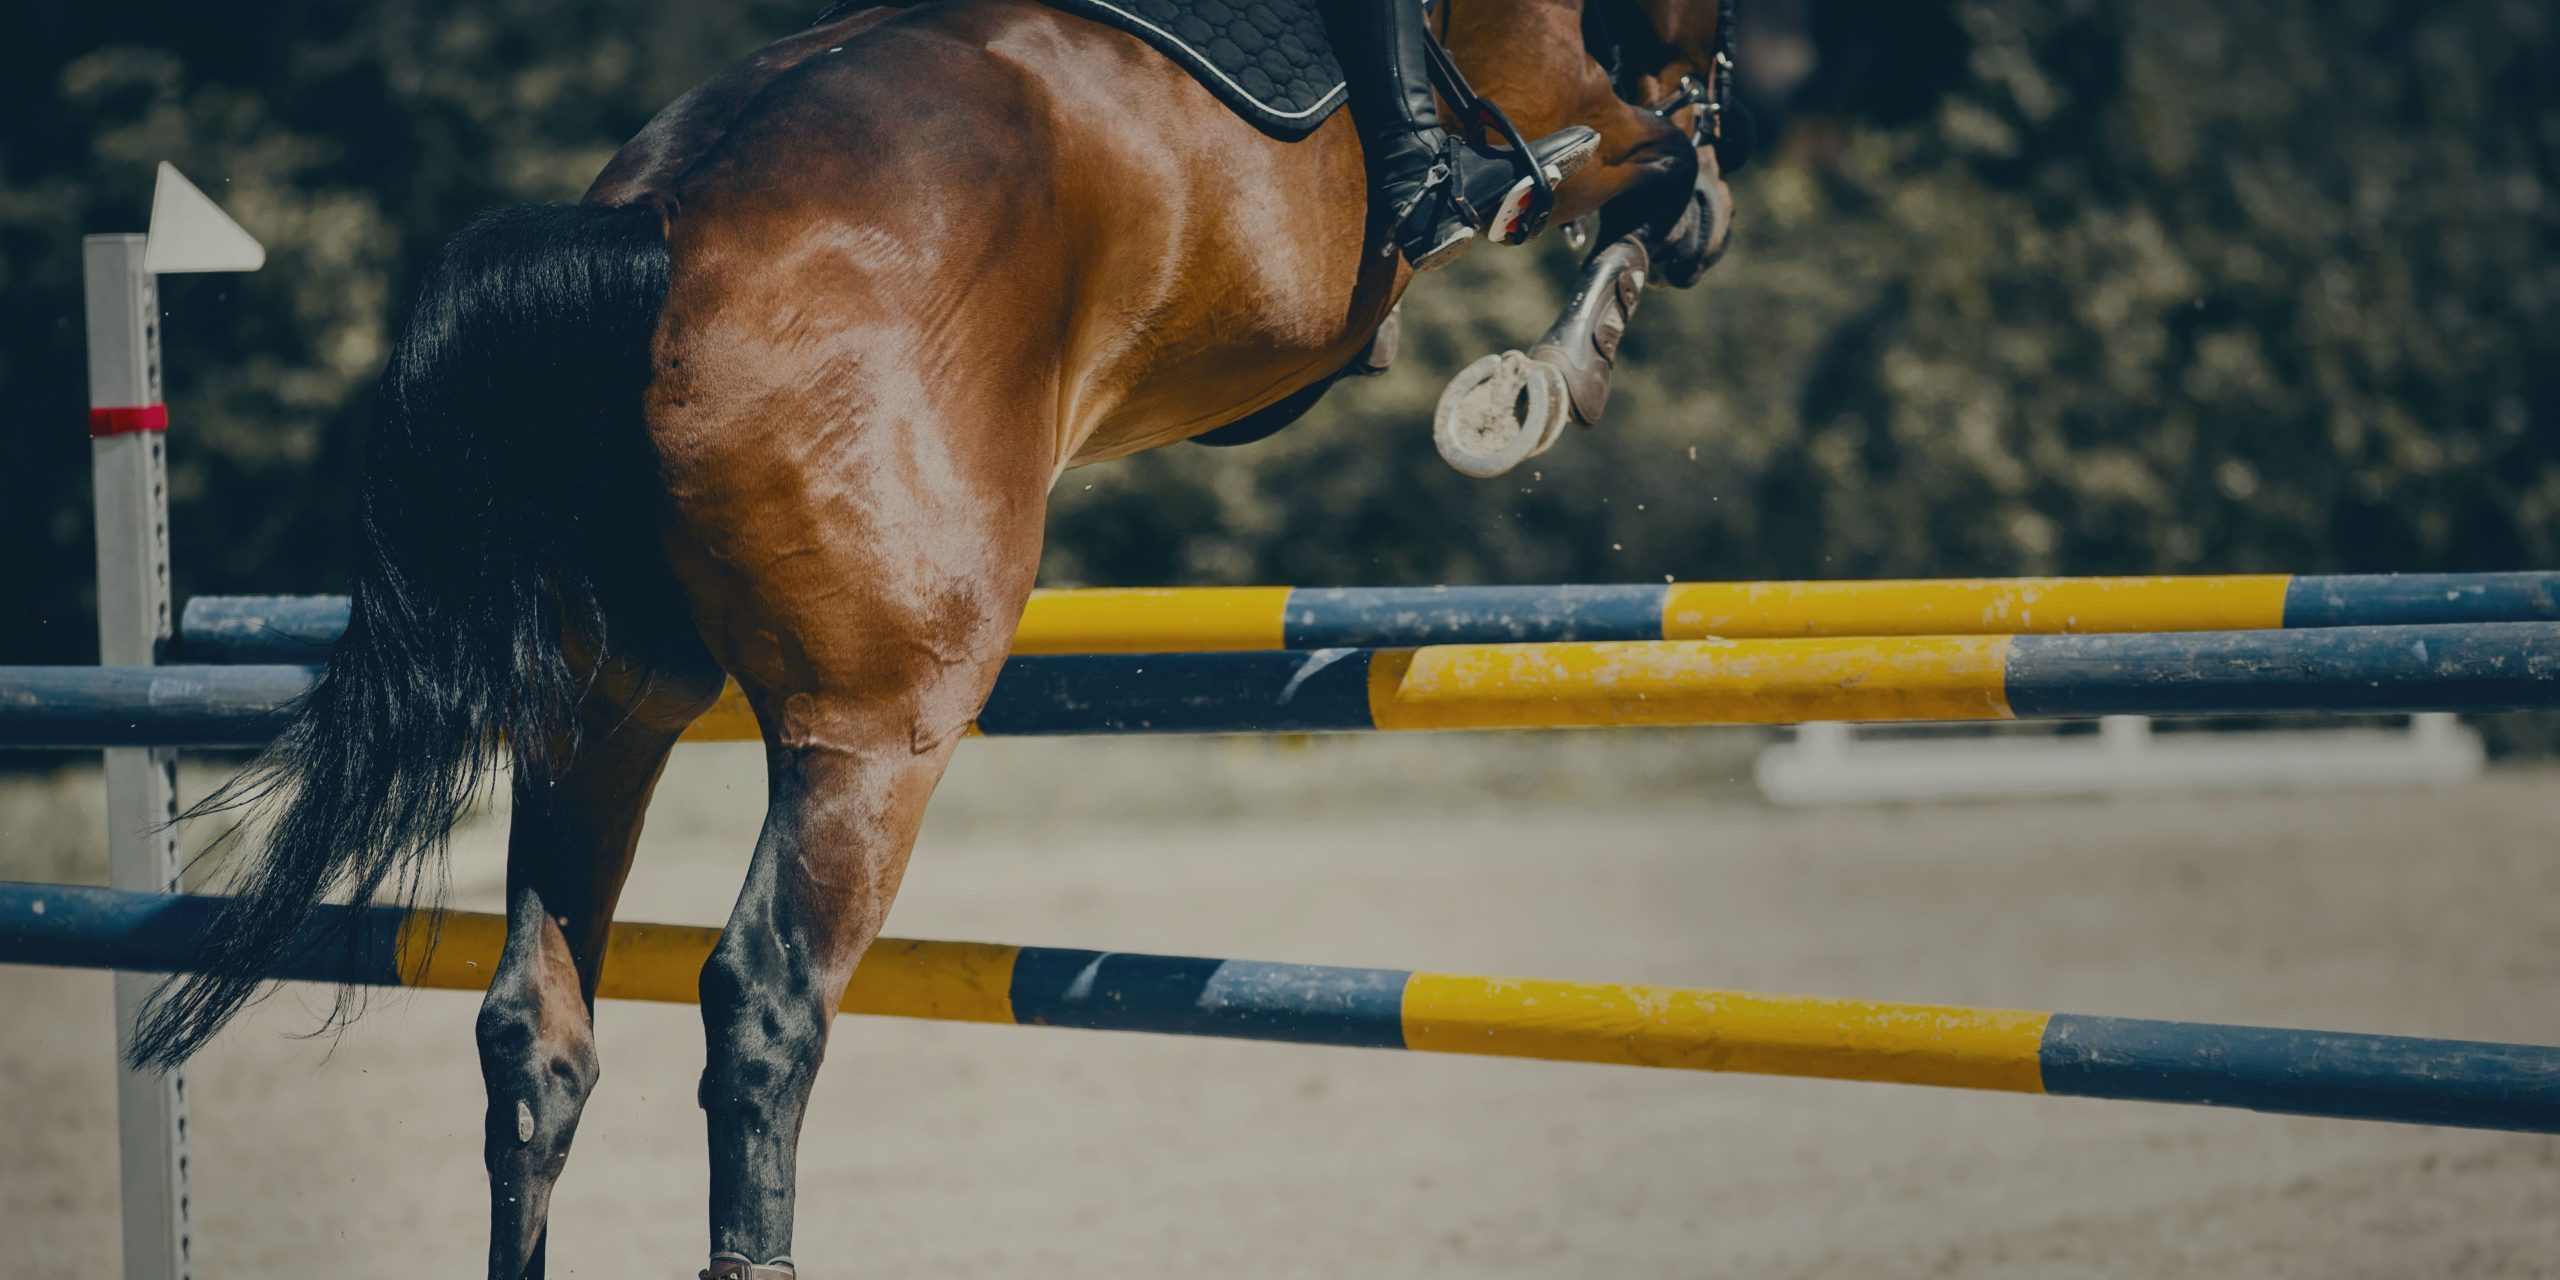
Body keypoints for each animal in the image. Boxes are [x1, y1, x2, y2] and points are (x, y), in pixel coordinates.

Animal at [130, 2, 1739, 1275]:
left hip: (602, 713)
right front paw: (1555, 369)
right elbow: (1642, 160)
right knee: (764, 1004)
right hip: (878, 727)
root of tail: (658, 221)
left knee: (536, 1028)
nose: (1718, 99)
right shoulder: (1553, 102)